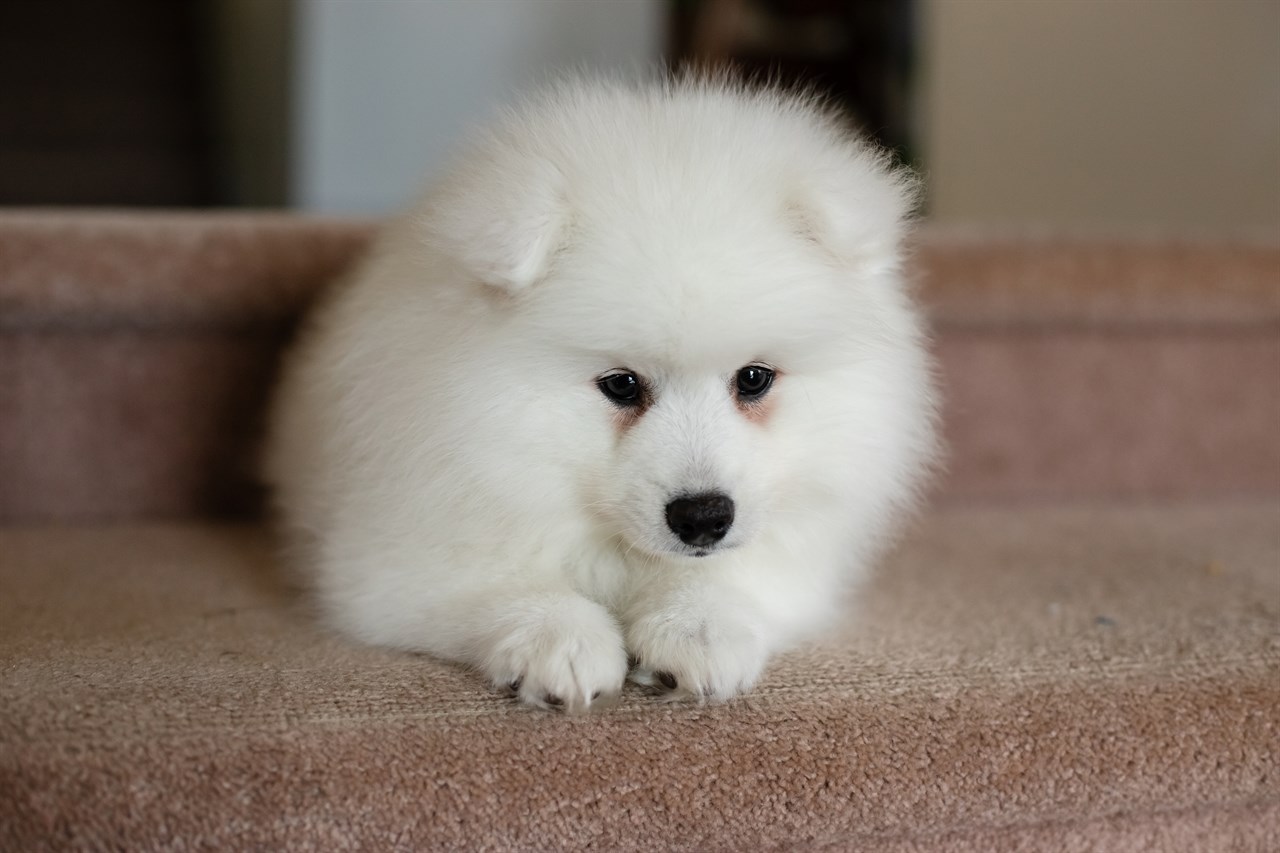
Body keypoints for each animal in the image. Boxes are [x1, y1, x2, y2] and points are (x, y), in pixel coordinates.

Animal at [264, 76, 936, 706]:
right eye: (621, 384)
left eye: (753, 378)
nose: (704, 518)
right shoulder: (390, 559)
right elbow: (499, 584)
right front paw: (560, 639)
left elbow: (737, 574)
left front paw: (697, 628)